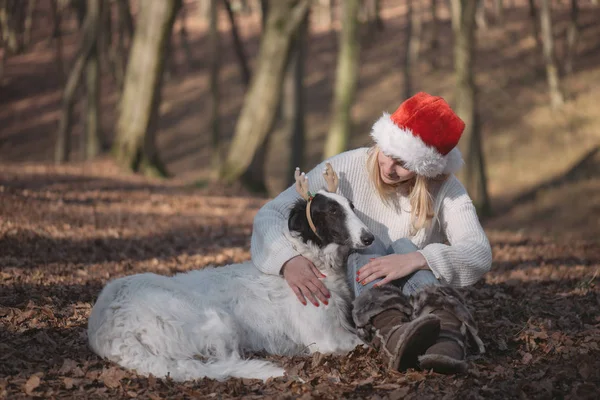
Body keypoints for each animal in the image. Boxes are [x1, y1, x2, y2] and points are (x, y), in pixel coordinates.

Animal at [88, 165, 376, 382]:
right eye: (333, 212)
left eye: (351, 206)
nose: (370, 237)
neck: (313, 259)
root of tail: (109, 328)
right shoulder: (325, 339)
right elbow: (365, 343)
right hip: (218, 319)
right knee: (226, 362)